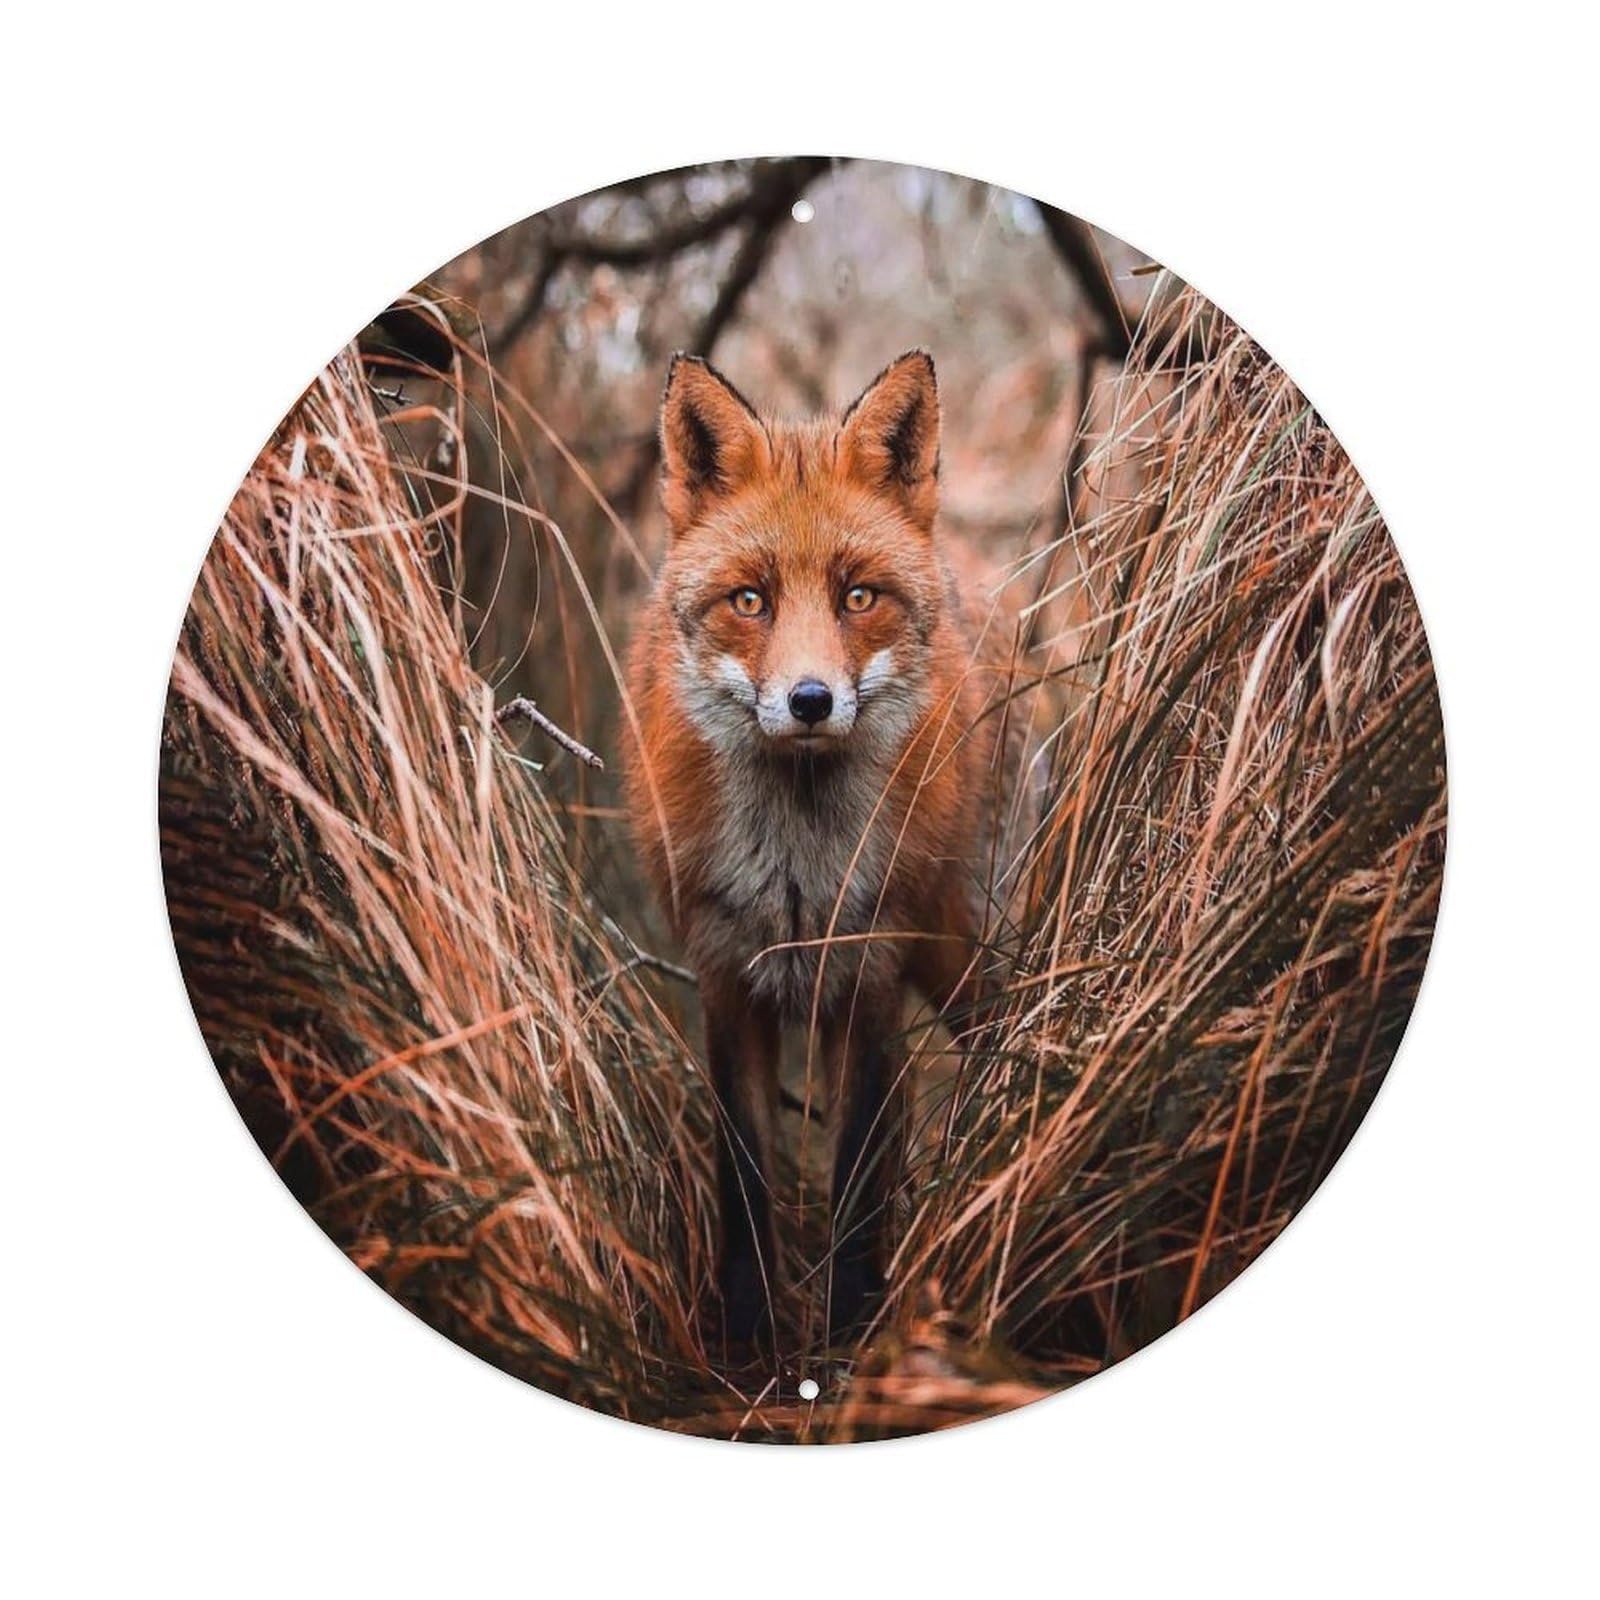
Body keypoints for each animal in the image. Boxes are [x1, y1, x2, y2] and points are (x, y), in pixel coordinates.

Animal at [624, 349, 1029, 1348]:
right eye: (750, 600)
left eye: (857, 597)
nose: (810, 701)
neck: (799, 869)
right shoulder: (726, 974)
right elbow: (744, 1180)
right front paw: (747, 1337)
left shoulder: (868, 974)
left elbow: (852, 1179)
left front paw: (847, 1335)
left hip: (954, 944)